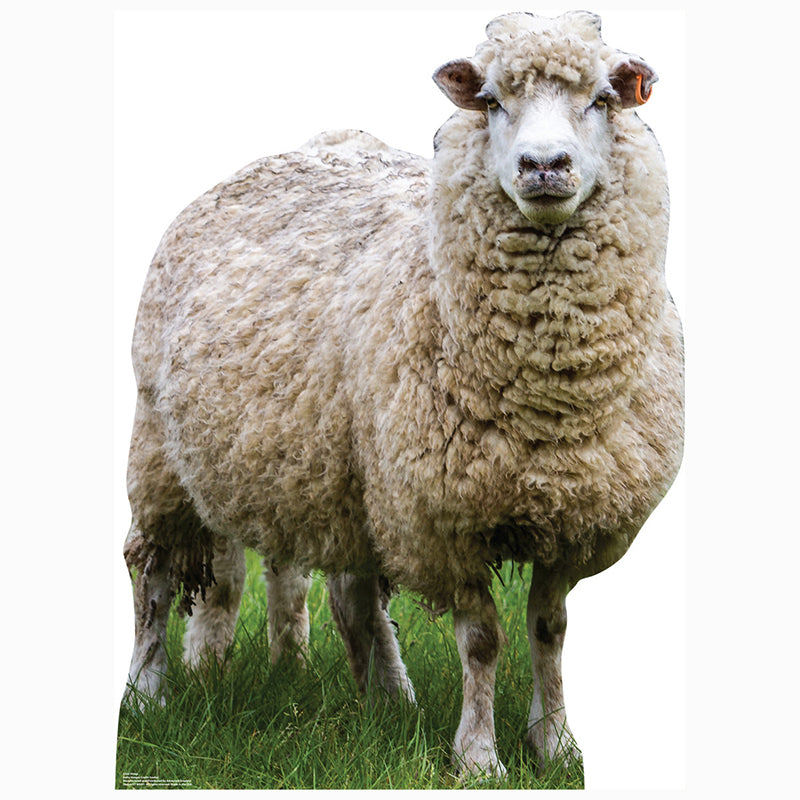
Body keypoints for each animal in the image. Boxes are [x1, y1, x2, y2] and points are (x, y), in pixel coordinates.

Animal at [122, 10, 684, 780]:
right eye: (492, 102)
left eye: (602, 100)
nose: (544, 166)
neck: (548, 401)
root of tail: (311, 144)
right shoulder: (441, 518)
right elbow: (482, 640)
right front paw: (479, 759)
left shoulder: (575, 518)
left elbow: (549, 629)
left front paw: (555, 745)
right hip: (165, 450)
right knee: (151, 573)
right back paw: (147, 694)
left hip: (317, 462)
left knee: (331, 584)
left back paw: (361, 688)